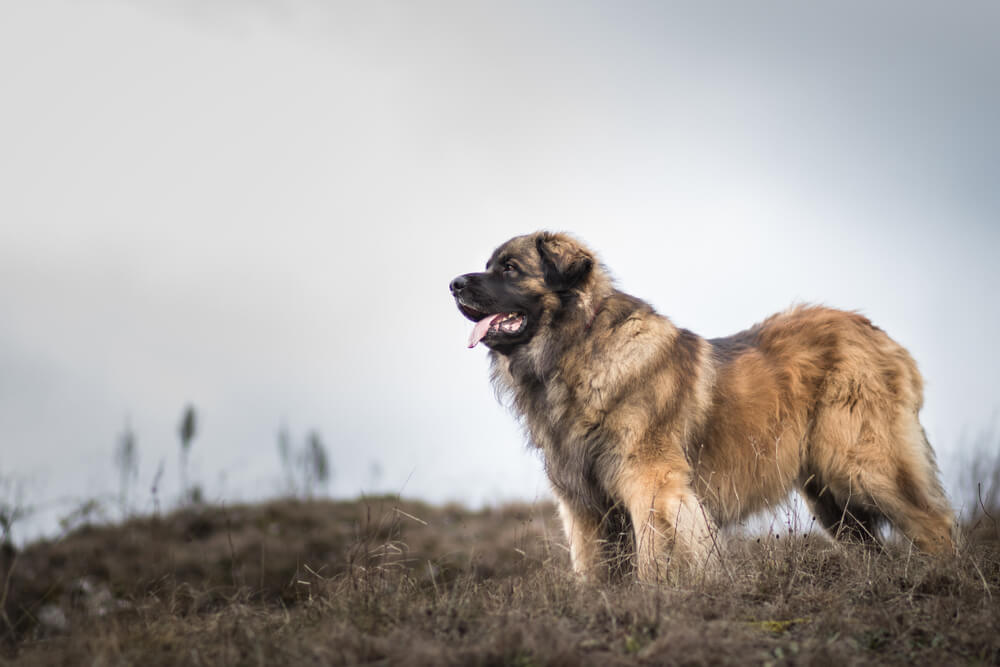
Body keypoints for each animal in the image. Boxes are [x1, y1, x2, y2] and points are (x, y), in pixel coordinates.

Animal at [450, 232, 956, 580]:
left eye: (510, 268)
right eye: (489, 265)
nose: (454, 284)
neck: (577, 348)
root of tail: (877, 332)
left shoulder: (653, 486)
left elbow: (656, 559)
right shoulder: (585, 504)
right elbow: (594, 570)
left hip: (862, 464)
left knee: (935, 523)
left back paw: (944, 582)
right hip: (831, 495)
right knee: (873, 544)